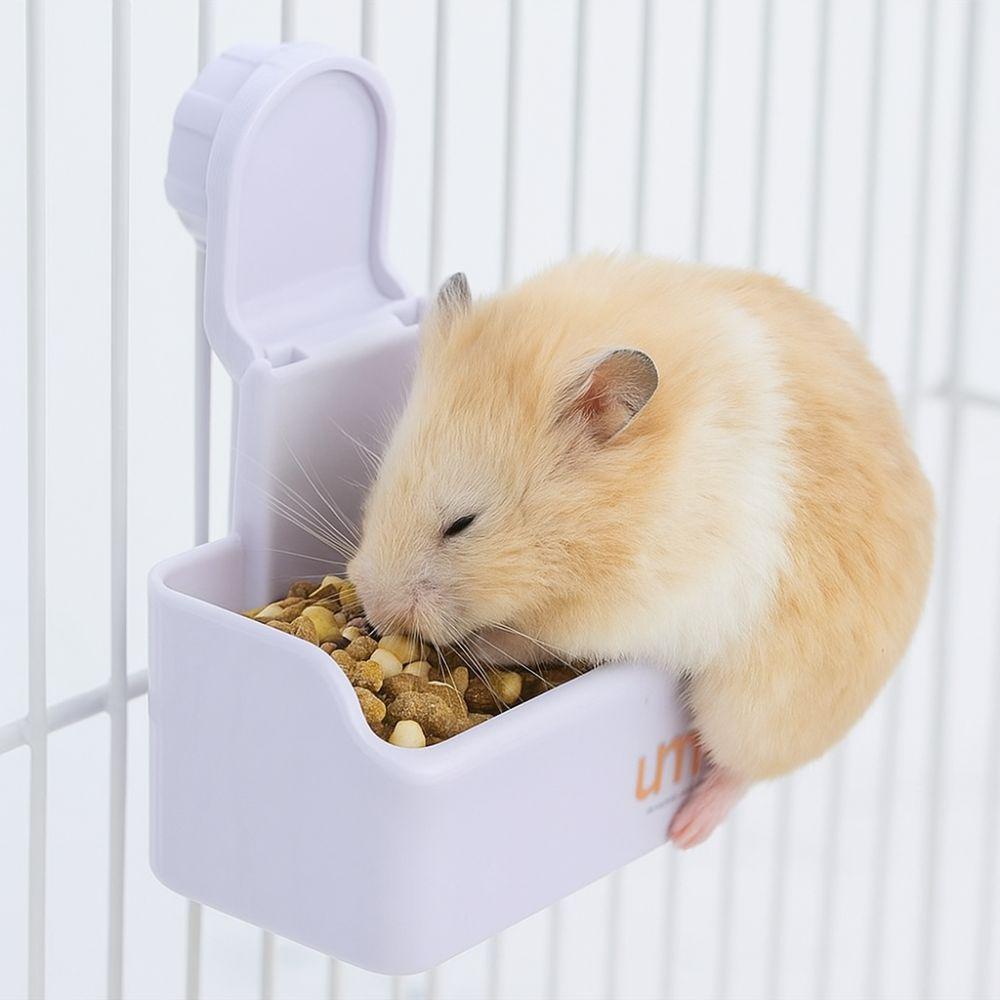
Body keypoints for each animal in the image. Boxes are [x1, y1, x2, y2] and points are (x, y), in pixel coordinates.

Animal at [347, 255, 934, 848]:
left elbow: (526, 641)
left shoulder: (623, 611)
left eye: (463, 524)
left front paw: (481, 646)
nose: (374, 613)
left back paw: (689, 828)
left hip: (757, 709)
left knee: (742, 768)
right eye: (383, 479)